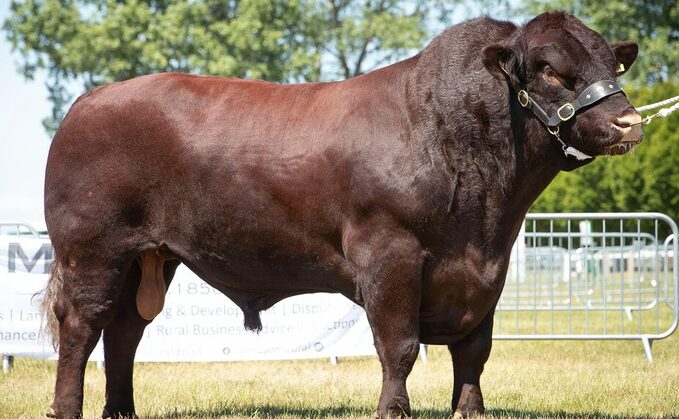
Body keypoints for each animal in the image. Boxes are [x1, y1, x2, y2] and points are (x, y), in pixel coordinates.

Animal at [43, 11, 644, 418]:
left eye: (610, 64)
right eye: (548, 69)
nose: (629, 123)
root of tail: (89, 102)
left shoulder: (488, 270)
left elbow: (475, 350)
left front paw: (469, 411)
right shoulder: (390, 253)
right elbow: (398, 346)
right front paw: (394, 410)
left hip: (148, 256)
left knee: (124, 332)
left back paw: (121, 411)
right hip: (92, 251)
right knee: (82, 327)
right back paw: (68, 408)